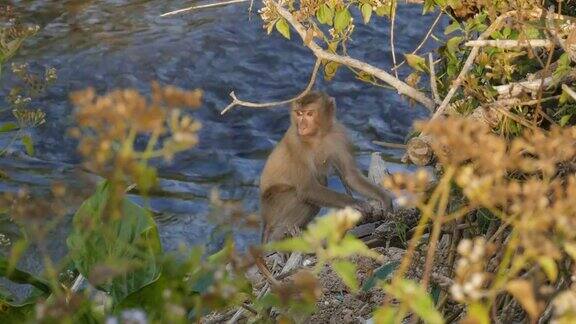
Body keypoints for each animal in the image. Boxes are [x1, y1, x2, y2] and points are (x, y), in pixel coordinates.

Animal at [260, 92, 392, 242]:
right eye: (299, 113)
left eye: (309, 114)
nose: (302, 126)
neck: (317, 136)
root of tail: (265, 218)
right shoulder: (295, 143)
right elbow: (307, 188)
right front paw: (356, 203)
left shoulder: (339, 135)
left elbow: (350, 176)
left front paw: (384, 198)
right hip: (273, 205)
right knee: (299, 195)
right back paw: (280, 234)